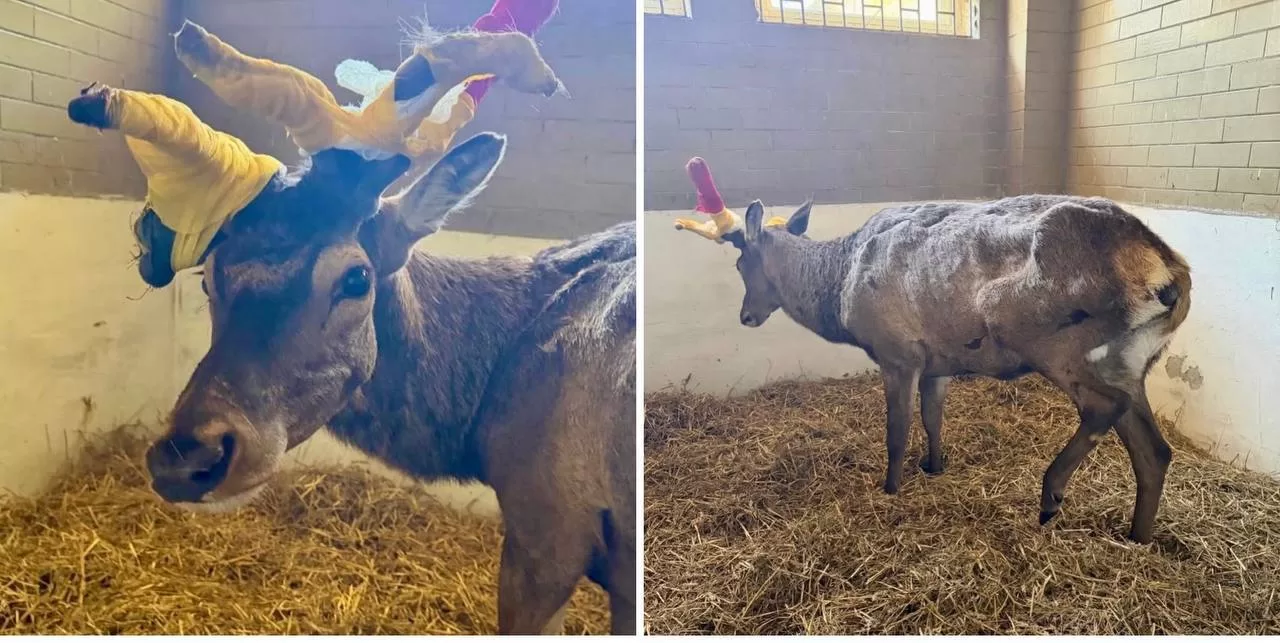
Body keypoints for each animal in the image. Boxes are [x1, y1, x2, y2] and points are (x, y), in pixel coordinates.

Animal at [673, 157, 1192, 544]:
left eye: (741, 262)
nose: (746, 316)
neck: (839, 292)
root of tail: (1170, 273)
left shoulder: (897, 352)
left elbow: (897, 430)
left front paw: (891, 487)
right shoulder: (938, 359)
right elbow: (932, 417)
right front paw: (935, 467)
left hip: (1051, 339)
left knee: (1103, 407)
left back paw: (1051, 495)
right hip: (1130, 360)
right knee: (1154, 450)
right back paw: (1138, 537)